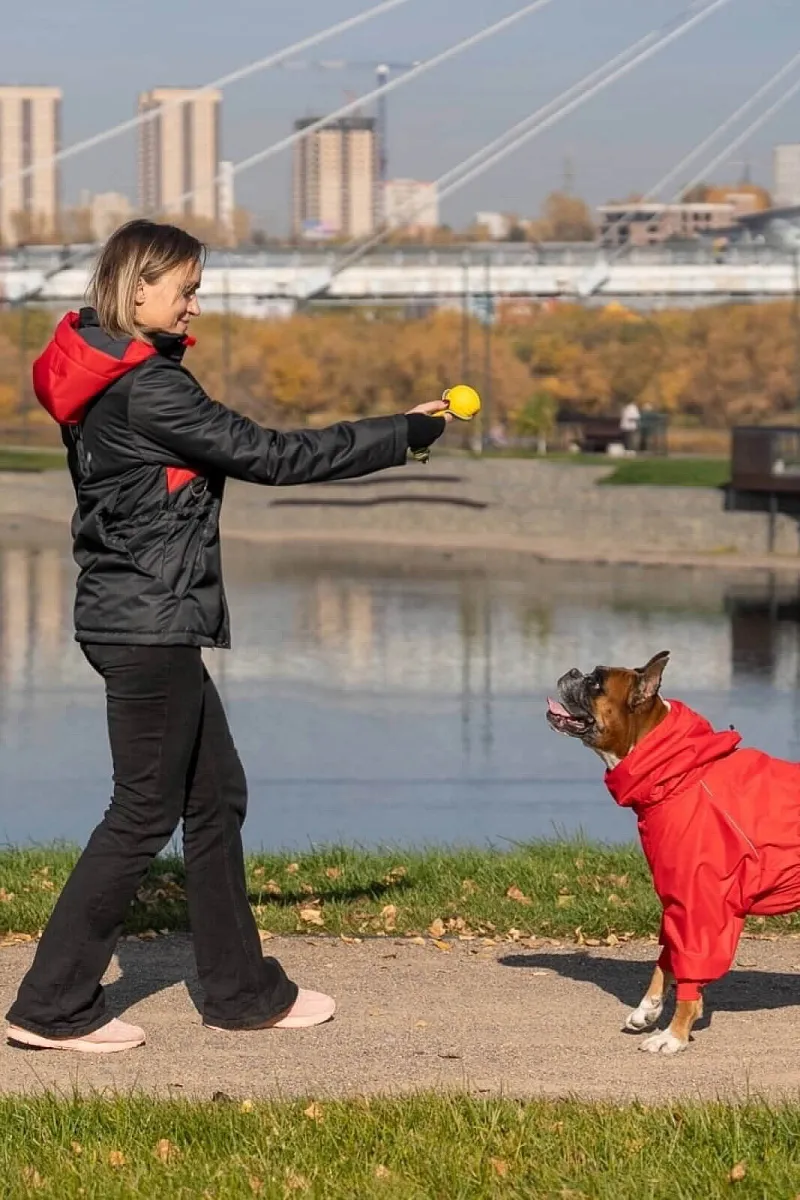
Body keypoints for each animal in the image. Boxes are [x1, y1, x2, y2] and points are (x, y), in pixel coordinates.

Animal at [546, 652, 800, 1056]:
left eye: (596, 682)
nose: (572, 671)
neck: (676, 771)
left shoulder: (701, 909)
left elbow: (689, 975)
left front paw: (675, 1034)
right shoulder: (677, 901)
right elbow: (666, 959)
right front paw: (647, 1009)